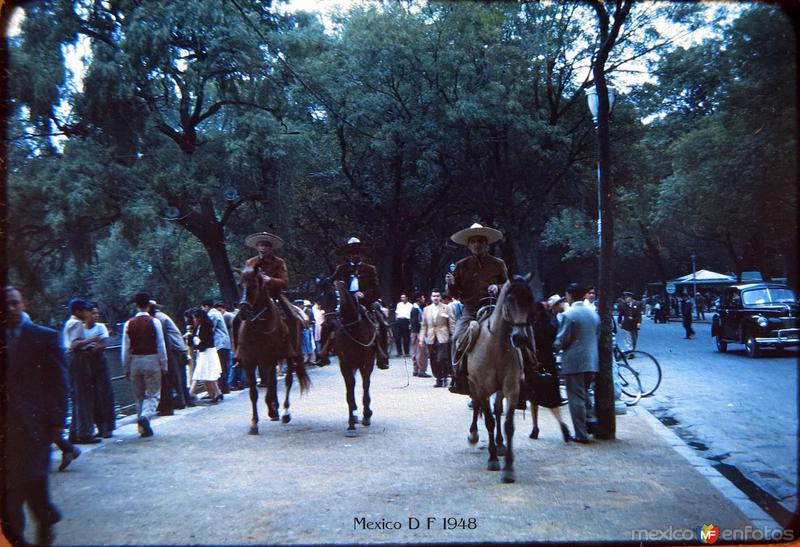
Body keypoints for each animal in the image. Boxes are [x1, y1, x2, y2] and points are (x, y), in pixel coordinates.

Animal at [234, 268, 310, 434]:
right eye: (239, 285)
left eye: (254, 286)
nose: (243, 311)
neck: (257, 326)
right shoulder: (249, 362)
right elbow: (253, 393)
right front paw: (254, 424)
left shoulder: (269, 359)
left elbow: (270, 386)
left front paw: (272, 409)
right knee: (274, 382)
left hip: (290, 354)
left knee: (287, 381)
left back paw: (284, 412)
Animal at [314, 276, 376, 438]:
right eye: (320, 301)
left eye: (335, 297)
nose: (328, 325)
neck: (354, 329)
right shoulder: (345, 363)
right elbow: (350, 390)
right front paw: (351, 422)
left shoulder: (367, 362)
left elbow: (365, 385)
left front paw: (366, 414)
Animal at [460, 276, 536, 482]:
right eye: (509, 300)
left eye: (530, 300)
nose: (520, 338)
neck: (496, 347)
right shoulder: (482, 388)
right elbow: (488, 421)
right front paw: (492, 459)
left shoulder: (512, 388)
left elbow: (508, 424)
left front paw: (508, 467)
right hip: (473, 384)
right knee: (477, 405)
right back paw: (473, 435)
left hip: (500, 389)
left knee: (498, 409)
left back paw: (501, 444)